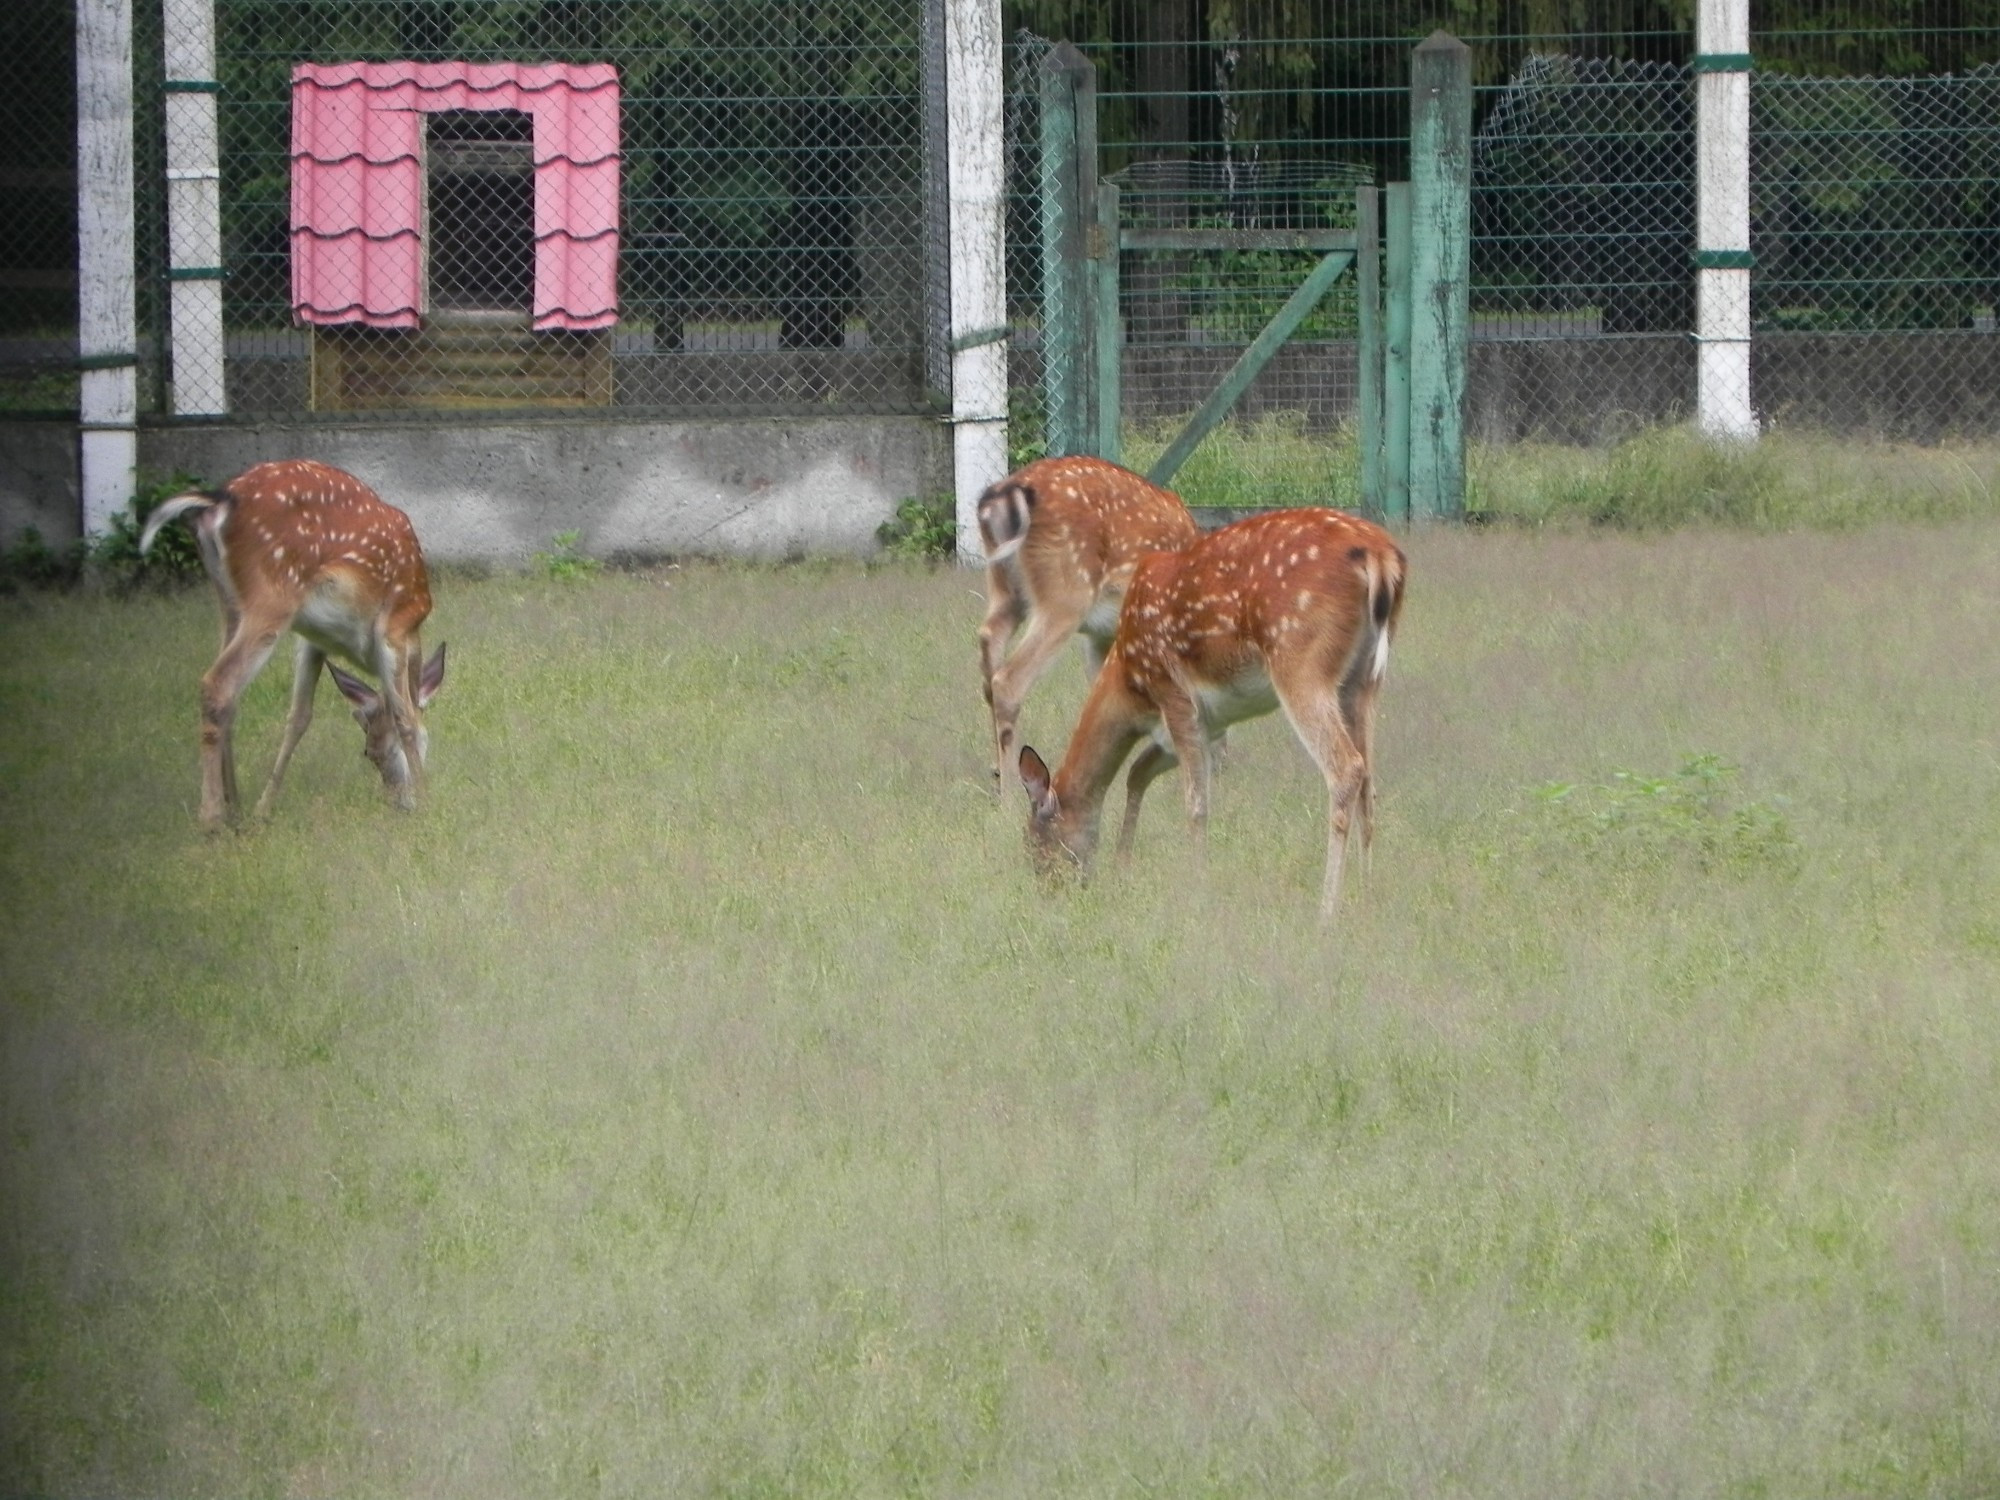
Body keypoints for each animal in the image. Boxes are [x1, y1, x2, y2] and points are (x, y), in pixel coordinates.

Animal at [142, 462, 450, 836]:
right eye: (369, 753)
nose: (399, 802)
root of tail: (219, 501)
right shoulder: (394, 628)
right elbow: (404, 715)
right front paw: (427, 800)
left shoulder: (312, 639)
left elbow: (298, 717)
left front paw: (264, 809)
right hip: (273, 593)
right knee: (217, 683)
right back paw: (212, 818)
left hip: (229, 603)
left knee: (231, 696)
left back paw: (237, 809)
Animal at [976, 456, 1192, 788]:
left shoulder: (1101, 637)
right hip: (1065, 595)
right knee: (1009, 680)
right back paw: (1010, 789)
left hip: (1006, 588)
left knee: (988, 644)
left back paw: (997, 772)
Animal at [1016, 512, 1408, 924]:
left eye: (1036, 844)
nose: (1050, 893)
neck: (1129, 682)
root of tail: (1381, 556)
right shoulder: (1207, 723)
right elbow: (1137, 774)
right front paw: (1123, 868)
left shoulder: (1173, 693)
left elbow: (1196, 804)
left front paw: (1196, 889)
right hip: (1363, 681)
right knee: (1369, 781)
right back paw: (1366, 901)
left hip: (1300, 660)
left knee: (1346, 767)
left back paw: (1326, 913)